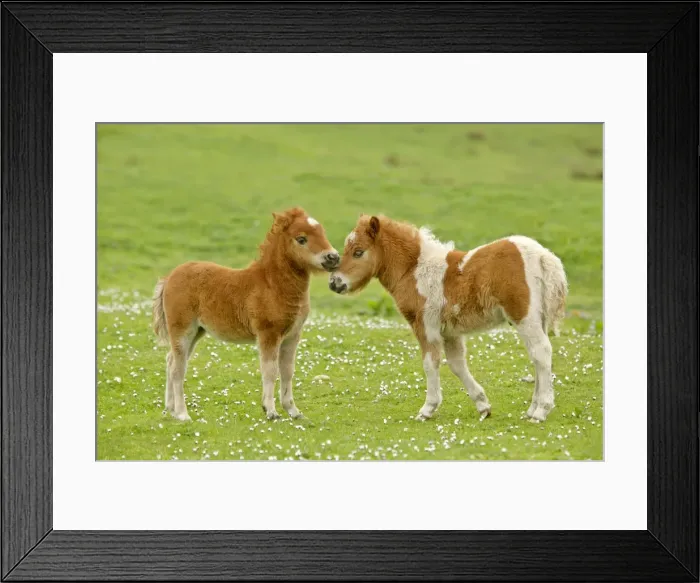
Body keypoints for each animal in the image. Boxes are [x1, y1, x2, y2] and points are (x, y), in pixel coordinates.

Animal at [152, 207, 339, 421]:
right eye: (301, 239)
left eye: (322, 232)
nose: (333, 257)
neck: (273, 285)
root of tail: (169, 277)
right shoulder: (268, 334)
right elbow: (270, 370)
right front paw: (271, 411)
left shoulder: (292, 335)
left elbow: (287, 371)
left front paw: (293, 411)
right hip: (182, 329)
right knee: (177, 368)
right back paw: (183, 414)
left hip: (196, 332)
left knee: (171, 361)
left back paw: (170, 409)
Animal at [329, 214, 568, 422]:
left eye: (358, 252)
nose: (334, 283)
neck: (414, 271)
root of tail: (543, 255)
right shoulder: (451, 332)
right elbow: (456, 364)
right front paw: (483, 406)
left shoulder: (426, 326)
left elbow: (430, 363)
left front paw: (427, 409)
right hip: (537, 319)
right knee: (537, 357)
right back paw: (532, 409)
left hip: (524, 317)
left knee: (541, 352)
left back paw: (541, 411)